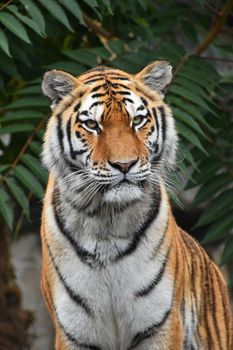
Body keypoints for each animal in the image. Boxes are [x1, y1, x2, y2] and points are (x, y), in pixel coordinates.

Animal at [41, 61, 232, 348]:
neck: (106, 219)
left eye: (138, 120)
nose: (124, 164)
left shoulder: (162, 324)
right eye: (92, 124)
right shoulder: (73, 332)